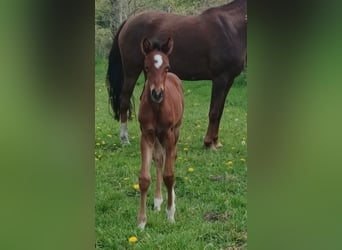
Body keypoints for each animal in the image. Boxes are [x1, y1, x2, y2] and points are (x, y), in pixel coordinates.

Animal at [107, 0, 246, 148]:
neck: (231, 27)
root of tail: (129, 21)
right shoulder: (220, 78)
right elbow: (214, 112)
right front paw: (209, 143)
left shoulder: (229, 79)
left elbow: (220, 111)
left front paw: (216, 142)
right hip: (131, 71)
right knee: (124, 101)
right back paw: (124, 139)